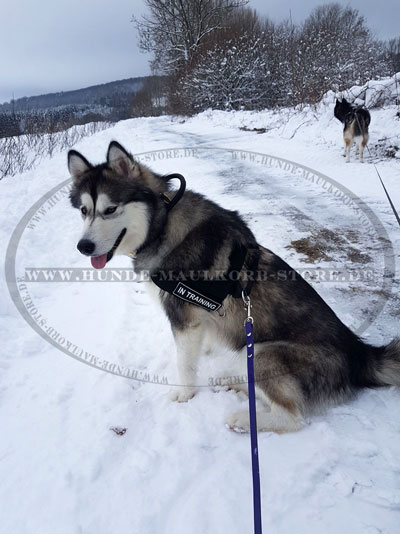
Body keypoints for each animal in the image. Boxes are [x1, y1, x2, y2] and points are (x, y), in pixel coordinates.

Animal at [67, 141, 398, 436]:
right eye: (83, 210)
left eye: (110, 209)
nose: (83, 247)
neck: (161, 227)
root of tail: (360, 353)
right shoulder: (200, 319)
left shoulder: (183, 318)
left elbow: (184, 364)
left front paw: (184, 395)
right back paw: (235, 381)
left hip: (264, 351)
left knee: (293, 417)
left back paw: (243, 419)